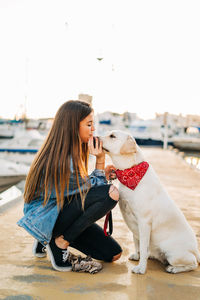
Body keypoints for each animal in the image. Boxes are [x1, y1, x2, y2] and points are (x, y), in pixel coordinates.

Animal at [101, 130, 200, 274]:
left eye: (112, 136)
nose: (95, 137)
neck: (130, 172)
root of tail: (196, 250)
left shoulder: (144, 221)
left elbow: (143, 246)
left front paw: (141, 268)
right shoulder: (135, 224)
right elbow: (137, 243)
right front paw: (137, 256)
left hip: (174, 254)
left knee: (193, 264)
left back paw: (173, 268)